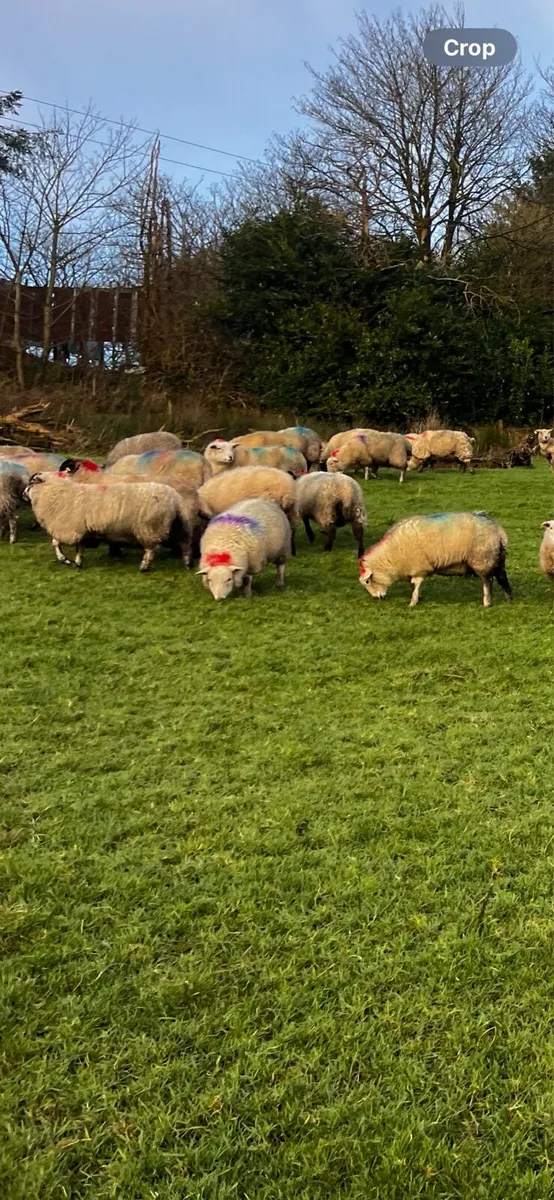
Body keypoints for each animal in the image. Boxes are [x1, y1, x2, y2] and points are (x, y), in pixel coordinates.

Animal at [24, 475, 196, 571]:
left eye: (31, 482)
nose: (23, 494)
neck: (55, 493)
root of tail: (176, 500)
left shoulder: (70, 528)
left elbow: (57, 543)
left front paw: (67, 560)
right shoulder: (81, 529)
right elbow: (78, 547)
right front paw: (76, 562)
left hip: (151, 528)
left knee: (151, 550)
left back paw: (144, 567)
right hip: (176, 526)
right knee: (186, 543)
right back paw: (187, 563)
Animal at [359, 511, 512, 607]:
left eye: (367, 581)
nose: (377, 598)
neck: (390, 558)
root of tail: (499, 531)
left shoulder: (419, 568)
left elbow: (416, 585)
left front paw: (413, 602)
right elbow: (415, 586)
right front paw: (418, 598)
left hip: (482, 559)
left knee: (488, 581)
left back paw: (487, 603)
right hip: (497, 559)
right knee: (502, 577)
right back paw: (509, 597)